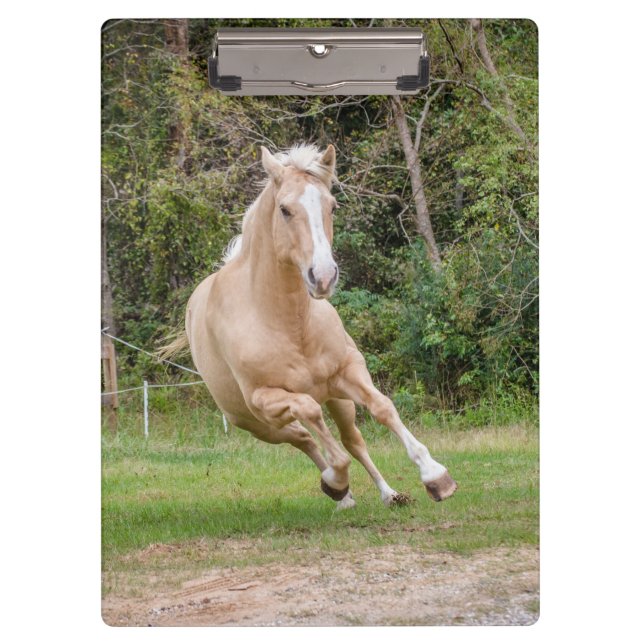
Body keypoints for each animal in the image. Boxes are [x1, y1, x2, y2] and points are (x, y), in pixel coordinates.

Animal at [169, 143, 457, 509]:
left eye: (332, 206)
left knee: (351, 440)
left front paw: (435, 476)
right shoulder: (266, 399)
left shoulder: (348, 370)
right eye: (284, 210)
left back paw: (388, 494)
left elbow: (382, 408)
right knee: (304, 438)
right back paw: (339, 492)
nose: (323, 276)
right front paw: (335, 481)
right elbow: (313, 416)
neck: (288, 323)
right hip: (259, 424)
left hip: (336, 400)